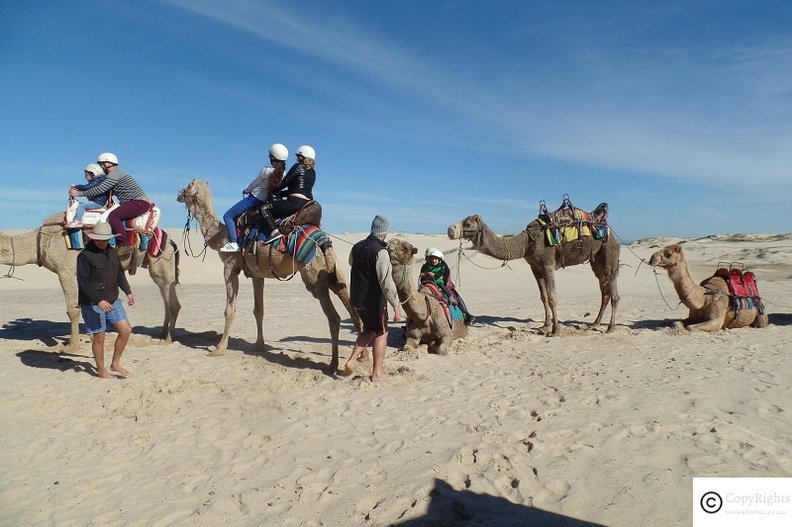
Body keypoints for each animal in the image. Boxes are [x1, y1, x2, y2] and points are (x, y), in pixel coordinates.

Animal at [0, 210, 181, 350]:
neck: (41, 242)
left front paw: (72, 346)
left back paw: (168, 339)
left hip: (162, 260)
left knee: (173, 302)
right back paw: (161, 333)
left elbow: (72, 310)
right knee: (166, 299)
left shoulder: (65, 271)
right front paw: (93, 337)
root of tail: (171, 241)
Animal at [175, 179, 360, 374]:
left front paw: (219, 348)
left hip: (313, 277)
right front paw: (259, 345)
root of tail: (323, 241)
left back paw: (333, 365)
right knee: (351, 306)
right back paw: (361, 358)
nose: (178, 194)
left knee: (334, 317)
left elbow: (229, 310)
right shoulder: (258, 274)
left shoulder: (230, 267)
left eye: (186, 188)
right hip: (332, 271)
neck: (220, 236)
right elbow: (259, 310)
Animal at [446, 213, 620, 334]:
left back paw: (610, 328)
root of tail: (614, 235)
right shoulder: (535, 267)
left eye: (467, 223)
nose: (450, 230)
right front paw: (545, 326)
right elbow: (543, 297)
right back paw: (595, 323)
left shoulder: (548, 265)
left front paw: (556, 331)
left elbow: (552, 298)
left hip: (609, 255)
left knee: (614, 293)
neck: (527, 243)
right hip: (596, 261)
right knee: (604, 291)